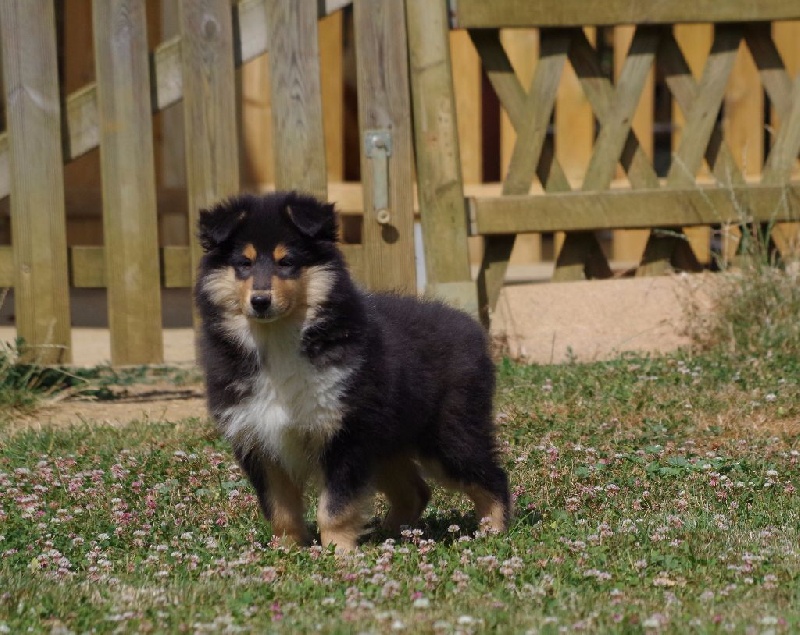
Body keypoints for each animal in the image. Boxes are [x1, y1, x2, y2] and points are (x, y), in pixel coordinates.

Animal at [195, 191, 506, 548]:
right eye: (243, 264)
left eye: (286, 262)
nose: (260, 301)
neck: (278, 342)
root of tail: (470, 327)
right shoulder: (260, 441)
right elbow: (280, 509)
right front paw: (287, 550)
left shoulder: (345, 436)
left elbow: (335, 507)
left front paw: (338, 552)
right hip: (388, 443)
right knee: (416, 492)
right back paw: (388, 535)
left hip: (448, 436)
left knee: (491, 476)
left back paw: (494, 531)